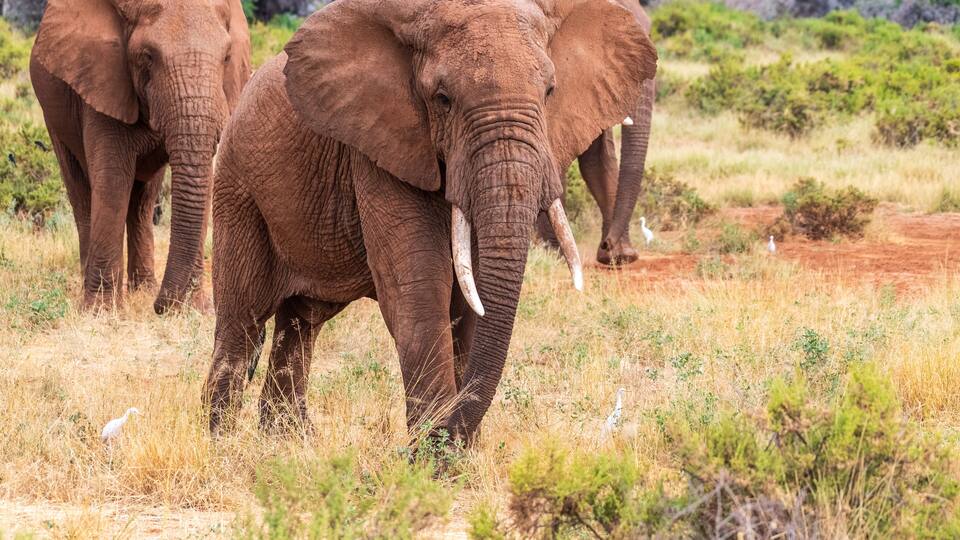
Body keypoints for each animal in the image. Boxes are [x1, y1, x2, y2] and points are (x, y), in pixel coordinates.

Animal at [30, 0, 251, 312]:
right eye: (148, 56)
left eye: (227, 57)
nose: (161, 308)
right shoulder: (103, 80)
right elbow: (112, 183)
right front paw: (101, 312)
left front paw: (194, 309)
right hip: (53, 114)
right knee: (81, 191)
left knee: (143, 200)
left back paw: (144, 289)